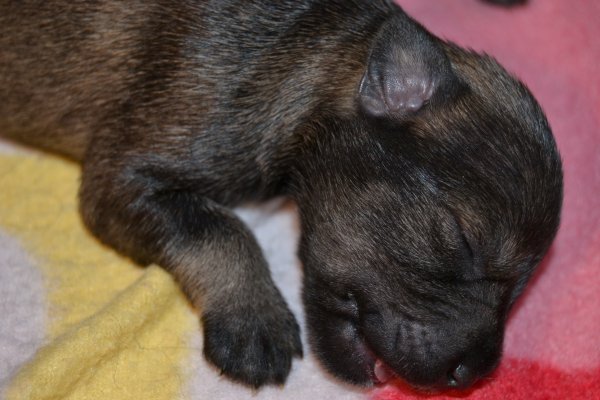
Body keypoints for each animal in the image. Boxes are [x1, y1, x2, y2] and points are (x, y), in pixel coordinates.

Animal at [0, 0, 562, 392]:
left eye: (523, 287)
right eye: (462, 241)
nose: (472, 374)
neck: (307, 52)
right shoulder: (123, 178)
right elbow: (220, 228)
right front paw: (255, 320)